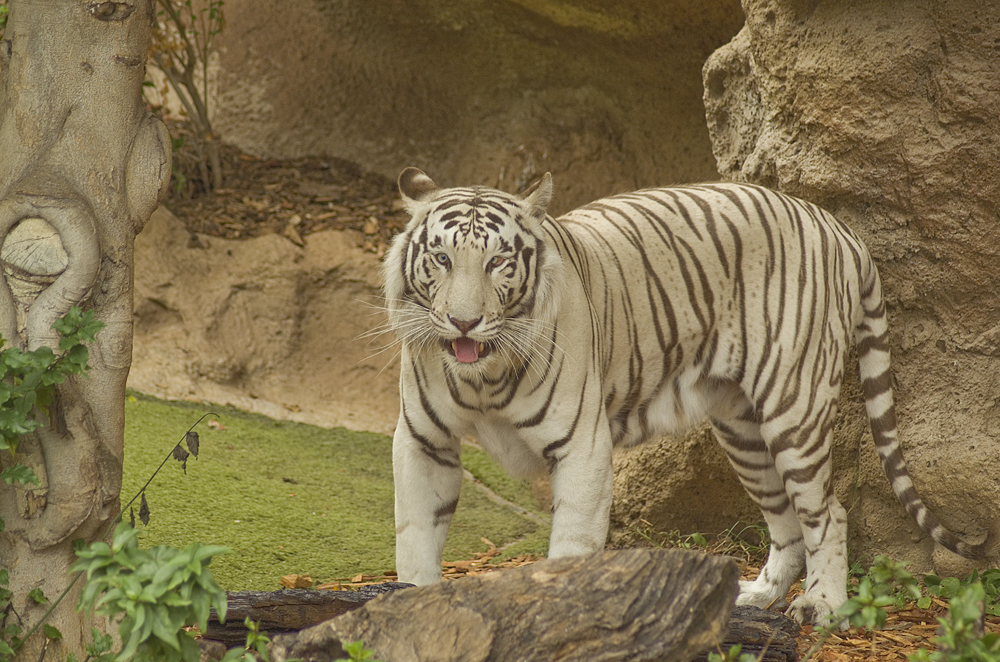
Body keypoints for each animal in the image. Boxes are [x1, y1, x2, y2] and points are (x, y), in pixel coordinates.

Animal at [380, 167, 992, 628]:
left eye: (498, 262)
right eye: (441, 259)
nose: (464, 322)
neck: (481, 379)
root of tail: (840, 229)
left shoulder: (581, 446)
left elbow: (571, 547)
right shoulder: (422, 440)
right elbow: (414, 536)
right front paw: (412, 608)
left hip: (793, 408)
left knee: (828, 512)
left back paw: (822, 606)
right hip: (741, 429)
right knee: (784, 518)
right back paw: (759, 595)